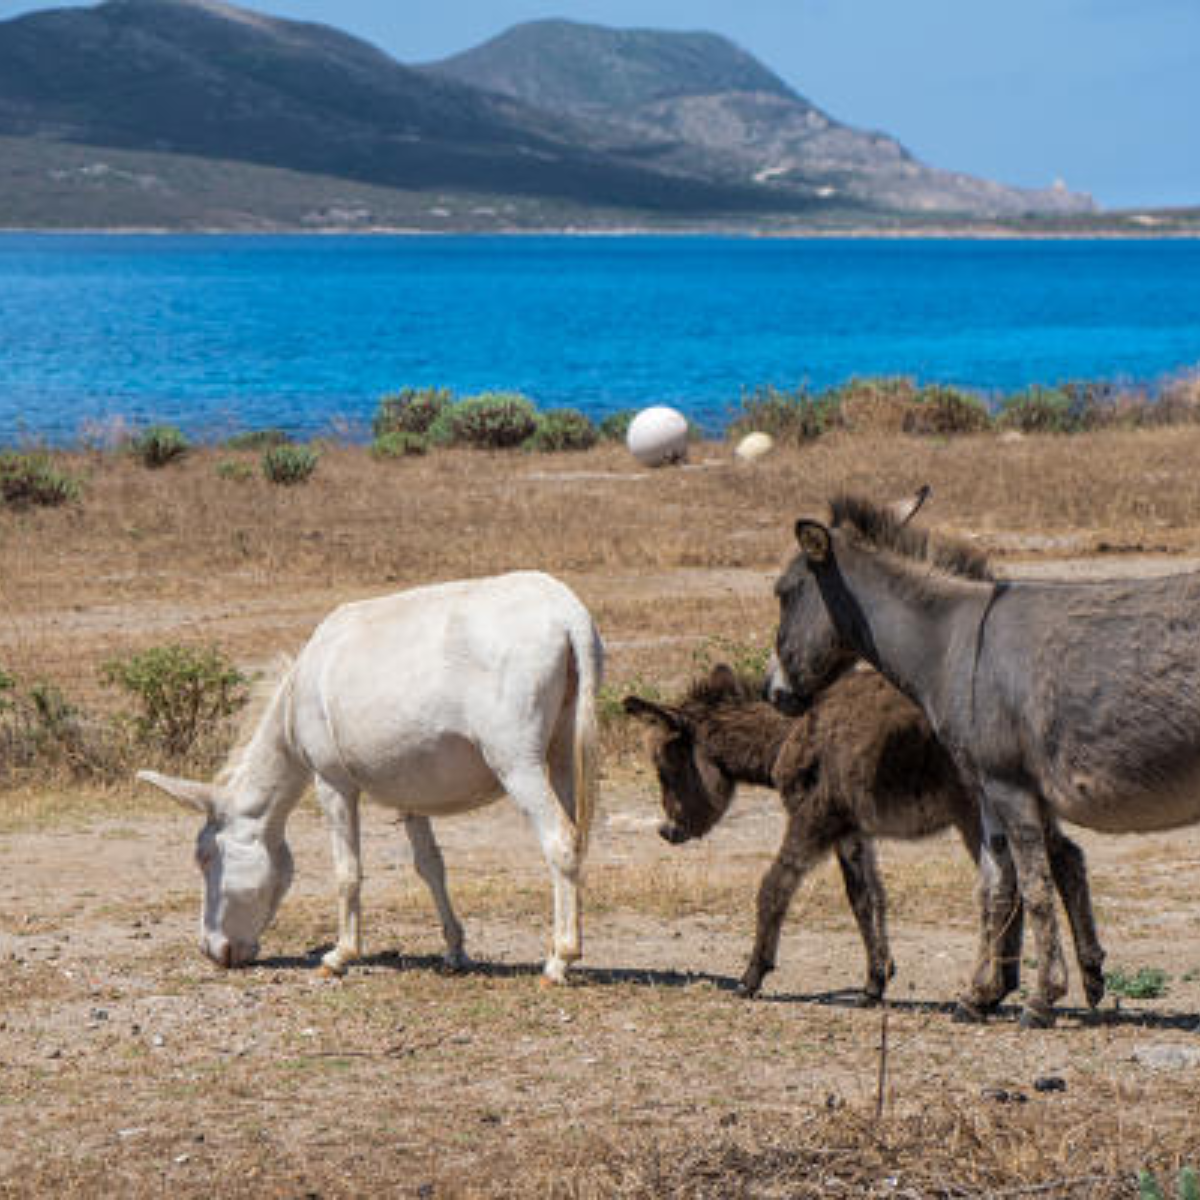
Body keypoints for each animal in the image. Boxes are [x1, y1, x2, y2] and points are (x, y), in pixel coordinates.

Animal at [628, 662, 1104, 1008]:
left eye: (665, 768)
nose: (667, 831)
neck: (791, 732)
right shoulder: (850, 831)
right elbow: (867, 898)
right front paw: (876, 981)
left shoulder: (813, 819)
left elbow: (774, 887)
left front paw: (751, 977)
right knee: (1066, 861)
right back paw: (1082, 976)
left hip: (978, 814)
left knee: (1028, 877)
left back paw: (1011, 988)